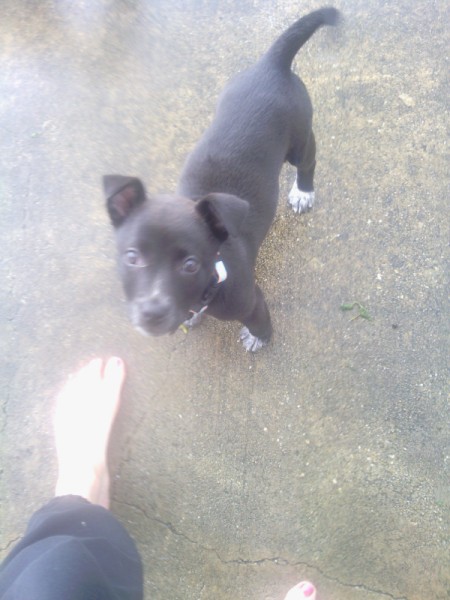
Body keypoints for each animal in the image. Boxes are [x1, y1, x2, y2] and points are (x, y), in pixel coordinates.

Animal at [103, 5, 340, 352]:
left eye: (190, 264)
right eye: (132, 257)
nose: (151, 313)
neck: (214, 276)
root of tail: (272, 65)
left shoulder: (251, 299)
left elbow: (259, 320)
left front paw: (258, 338)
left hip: (299, 137)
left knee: (308, 161)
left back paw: (303, 192)